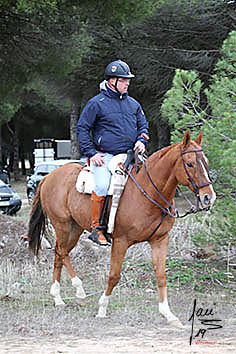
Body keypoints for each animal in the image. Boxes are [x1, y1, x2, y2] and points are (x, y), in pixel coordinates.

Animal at [27, 131, 216, 328]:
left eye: (206, 161)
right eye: (190, 163)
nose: (208, 197)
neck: (148, 192)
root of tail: (48, 177)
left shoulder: (160, 240)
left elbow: (161, 275)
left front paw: (168, 314)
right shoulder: (121, 241)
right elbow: (114, 275)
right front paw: (102, 309)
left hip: (74, 228)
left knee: (60, 253)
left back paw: (61, 297)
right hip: (62, 225)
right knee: (61, 252)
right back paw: (75, 292)